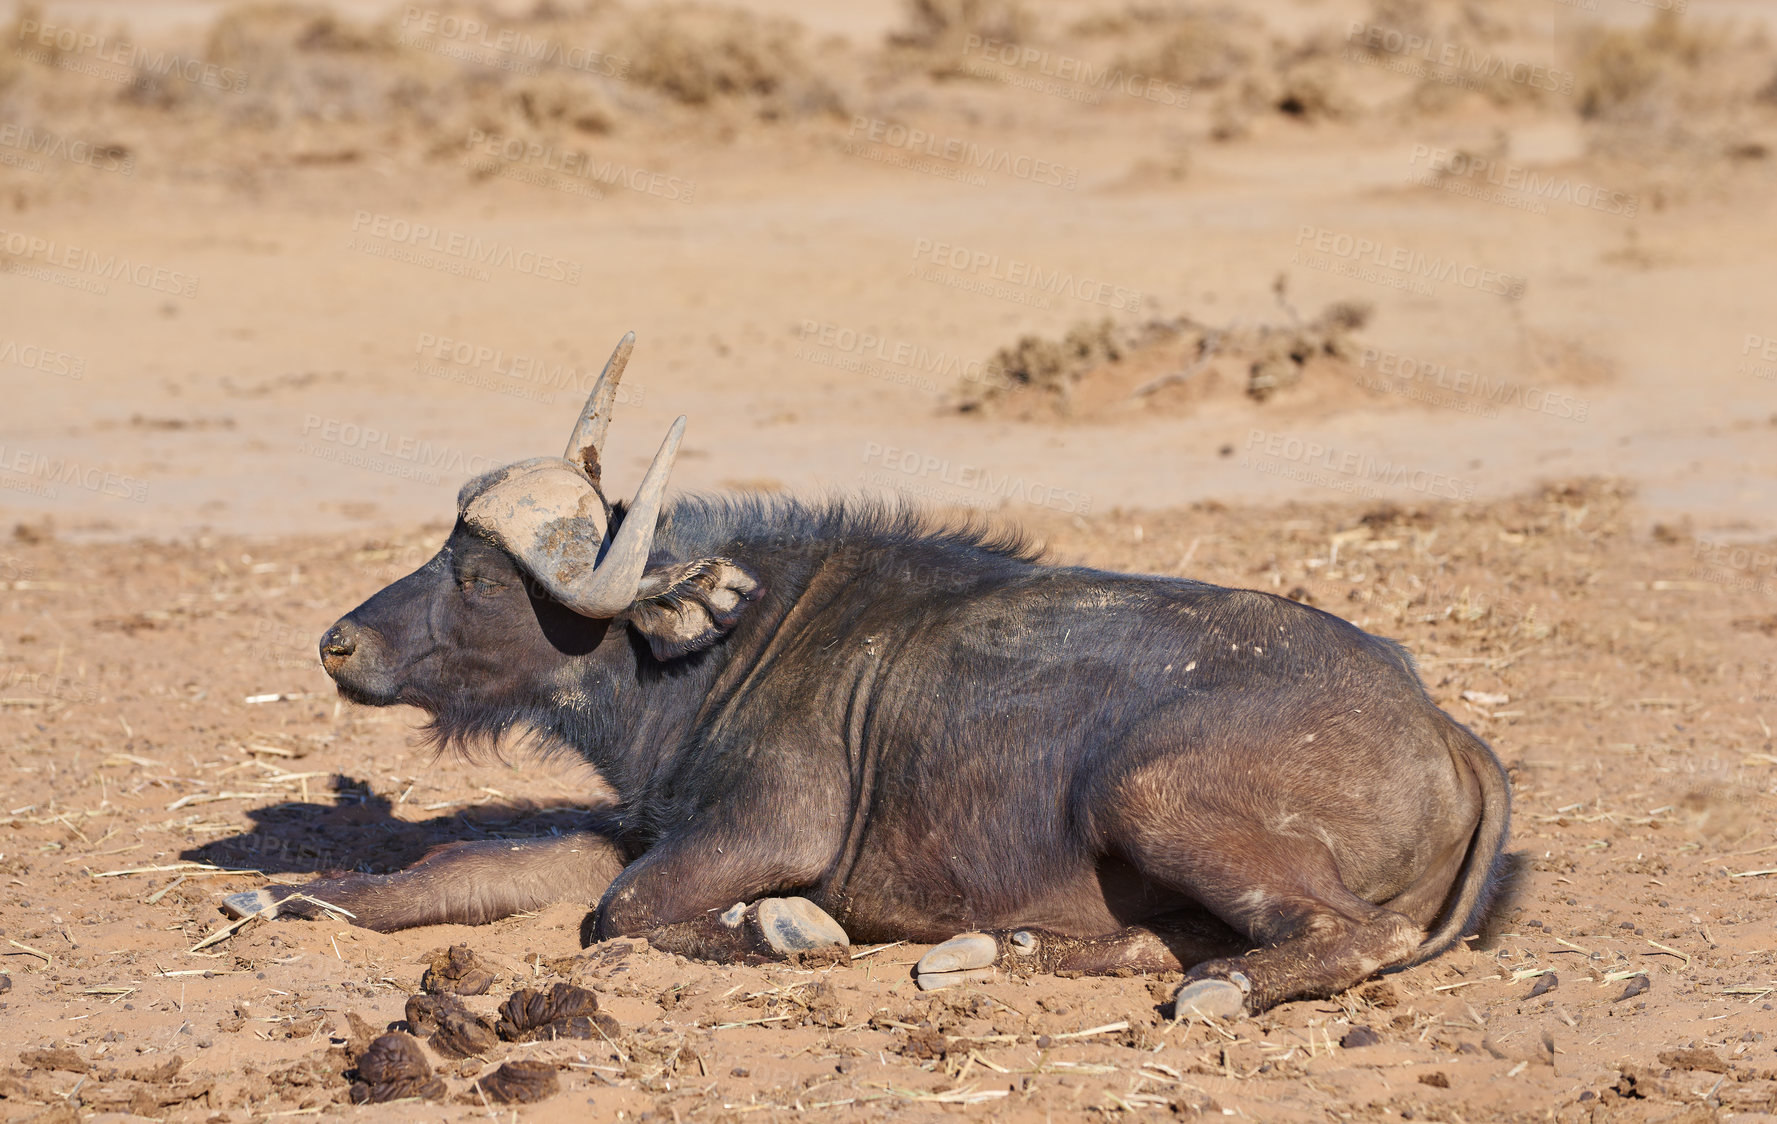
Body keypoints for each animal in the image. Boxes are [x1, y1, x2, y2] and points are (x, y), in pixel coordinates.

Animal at [232, 333, 1514, 1015]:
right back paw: (998, 948)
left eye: (478, 575)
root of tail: (1443, 727)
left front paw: (785, 926)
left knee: (1341, 933)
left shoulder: (761, 832)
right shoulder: (642, 826)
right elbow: (468, 868)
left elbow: (625, 912)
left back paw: (1211, 989)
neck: (705, 654)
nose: (340, 642)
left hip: (1150, 792)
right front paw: (287, 895)